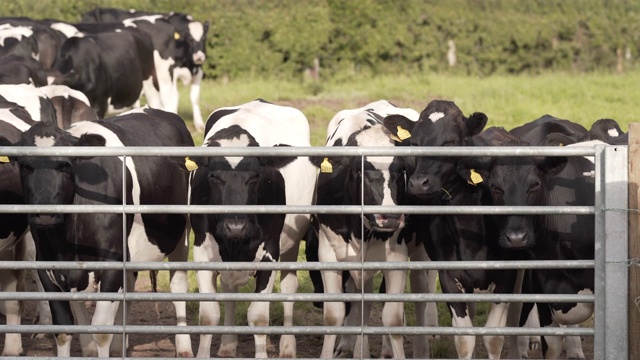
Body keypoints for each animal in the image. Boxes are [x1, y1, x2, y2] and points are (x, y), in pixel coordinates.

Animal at [0, 107, 195, 358]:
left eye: (65, 166)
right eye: (25, 166)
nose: (44, 214)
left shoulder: (111, 265)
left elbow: (101, 331)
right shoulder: (47, 267)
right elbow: (63, 330)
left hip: (182, 234)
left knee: (178, 285)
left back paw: (184, 347)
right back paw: (115, 346)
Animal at [188, 98, 316, 358]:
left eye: (255, 177)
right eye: (214, 177)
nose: (235, 226)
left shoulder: (270, 252)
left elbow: (258, 317)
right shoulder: (202, 251)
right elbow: (208, 316)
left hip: (291, 244)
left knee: (289, 287)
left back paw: (288, 346)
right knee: (229, 290)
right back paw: (228, 344)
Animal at [382, 100, 524, 358]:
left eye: (450, 142)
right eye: (415, 143)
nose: (418, 183)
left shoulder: (507, 274)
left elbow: (494, 337)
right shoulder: (449, 275)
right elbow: (465, 339)